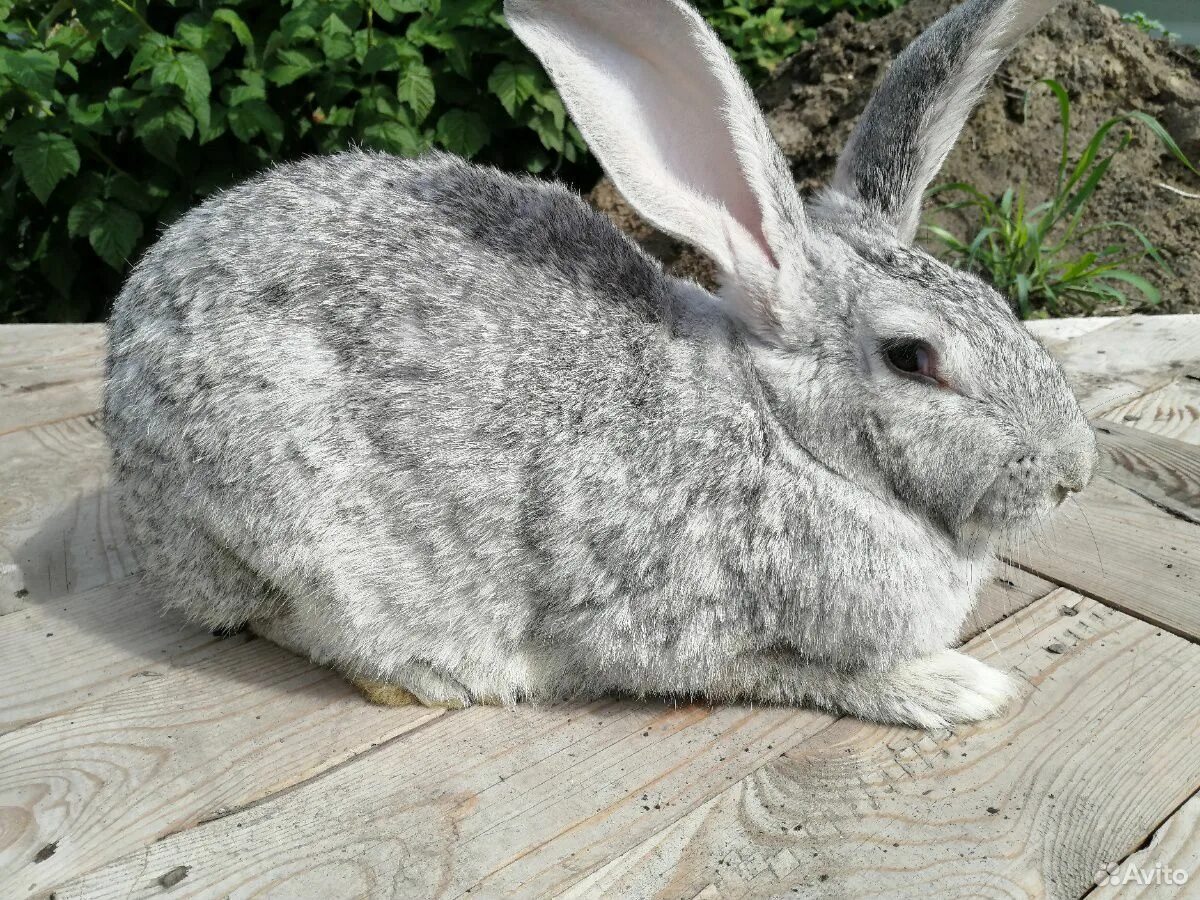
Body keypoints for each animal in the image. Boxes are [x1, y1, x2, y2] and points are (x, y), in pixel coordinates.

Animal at [105, 0, 1099, 734]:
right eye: (913, 358)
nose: (1075, 473)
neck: (785, 436)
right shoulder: (678, 632)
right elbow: (808, 675)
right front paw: (959, 688)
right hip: (275, 525)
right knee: (282, 619)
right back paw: (437, 678)